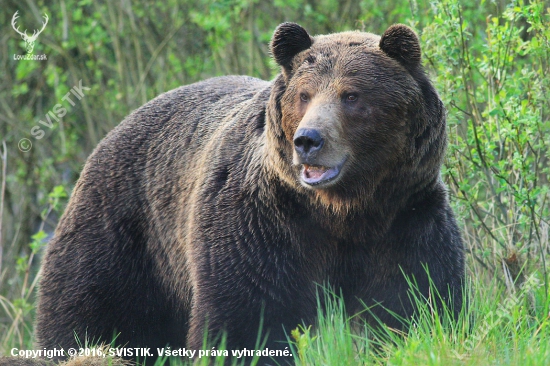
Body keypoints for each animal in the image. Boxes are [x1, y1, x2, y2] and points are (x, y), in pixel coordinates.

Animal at [34, 23, 466, 366]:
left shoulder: (405, 220)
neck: (343, 211)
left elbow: (417, 302)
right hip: (125, 233)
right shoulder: (261, 225)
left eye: (351, 95)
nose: (308, 140)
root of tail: (113, 131)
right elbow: (245, 316)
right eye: (305, 94)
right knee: (87, 309)